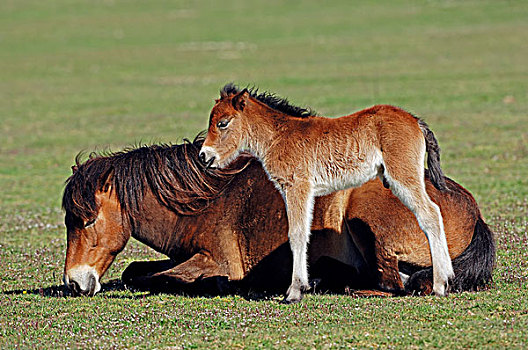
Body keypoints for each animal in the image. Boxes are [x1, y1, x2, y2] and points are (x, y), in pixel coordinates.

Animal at [62, 135, 496, 296]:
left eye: (87, 220)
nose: (74, 281)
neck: (206, 199)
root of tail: (472, 210)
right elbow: (135, 269)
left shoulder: (215, 260)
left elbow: (149, 277)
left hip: (364, 215)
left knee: (392, 282)